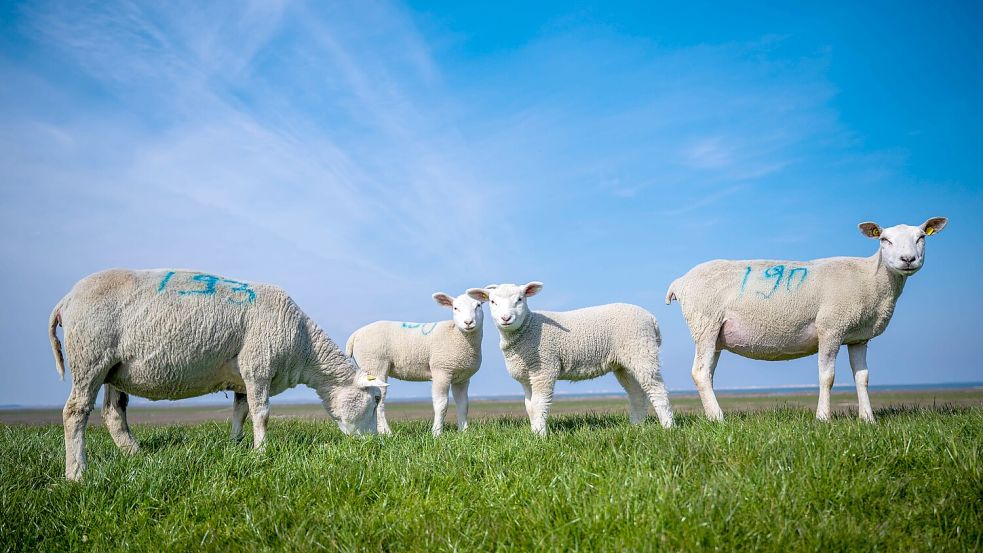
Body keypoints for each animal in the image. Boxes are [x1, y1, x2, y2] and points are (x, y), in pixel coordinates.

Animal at [49, 268, 384, 478]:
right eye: (375, 400)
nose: (371, 446)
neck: (304, 346)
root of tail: (65, 300)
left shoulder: (243, 377)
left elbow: (241, 412)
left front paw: (236, 446)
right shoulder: (258, 364)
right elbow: (261, 413)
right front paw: (261, 452)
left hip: (114, 369)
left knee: (113, 412)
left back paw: (136, 454)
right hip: (90, 356)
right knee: (75, 412)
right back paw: (77, 473)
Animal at [346, 292, 484, 438]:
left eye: (478, 305)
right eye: (455, 308)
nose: (468, 322)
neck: (455, 334)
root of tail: (356, 334)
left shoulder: (462, 378)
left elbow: (463, 405)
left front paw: (464, 432)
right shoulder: (441, 370)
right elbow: (441, 404)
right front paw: (436, 433)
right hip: (375, 364)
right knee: (379, 401)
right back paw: (386, 433)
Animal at [466, 282, 672, 434]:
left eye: (520, 299)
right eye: (492, 302)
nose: (506, 318)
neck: (528, 328)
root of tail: (651, 318)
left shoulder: (544, 369)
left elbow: (539, 404)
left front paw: (540, 436)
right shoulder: (526, 376)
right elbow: (530, 407)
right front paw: (534, 432)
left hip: (641, 350)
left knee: (657, 389)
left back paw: (668, 426)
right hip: (624, 363)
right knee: (637, 394)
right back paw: (637, 426)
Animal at [664, 217, 948, 422]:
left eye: (921, 237)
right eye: (884, 240)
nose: (908, 259)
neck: (872, 278)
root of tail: (681, 281)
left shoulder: (858, 337)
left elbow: (862, 377)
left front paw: (868, 419)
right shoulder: (831, 327)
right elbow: (827, 377)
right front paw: (822, 418)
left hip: (715, 335)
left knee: (707, 374)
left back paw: (712, 416)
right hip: (706, 323)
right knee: (700, 373)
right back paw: (719, 418)